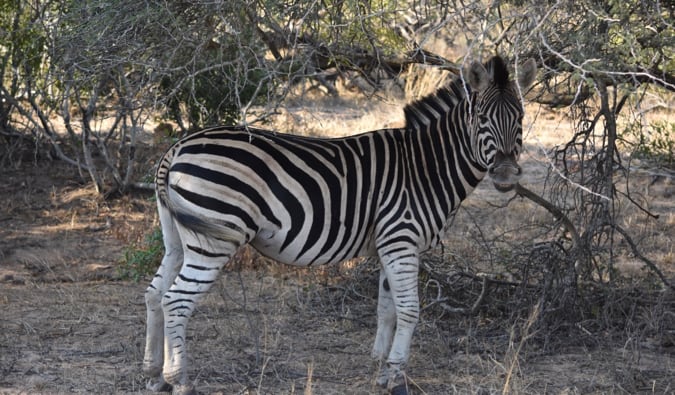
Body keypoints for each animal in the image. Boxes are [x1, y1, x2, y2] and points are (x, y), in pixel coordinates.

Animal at [144, 54, 540, 394]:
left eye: (520, 119)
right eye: (482, 119)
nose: (506, 176)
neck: (426, 166)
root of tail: (177, 147)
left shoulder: (388, 243)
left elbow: (387, 307)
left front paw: (381, 367)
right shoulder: (401, 239)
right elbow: (409, 309)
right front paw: (397, 377)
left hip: (179, 235)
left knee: (155, 292)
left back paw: (154, 375)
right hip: (214, 239)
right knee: (177, 300)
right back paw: (180, 380)